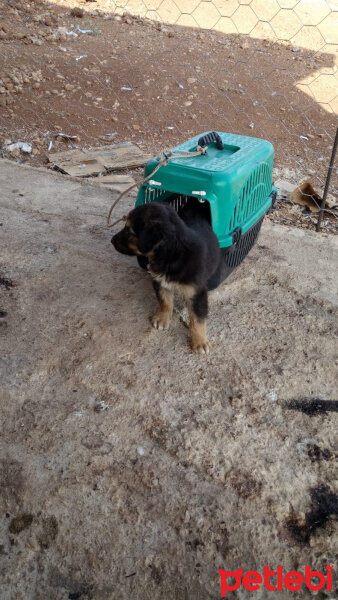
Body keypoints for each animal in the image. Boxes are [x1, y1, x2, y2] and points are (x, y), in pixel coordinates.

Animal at [112, 200, 220, 352]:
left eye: (129, 230)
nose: (111, 240)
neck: (171, 256)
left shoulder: (196, 292)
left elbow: (197, 318)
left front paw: (200, 341)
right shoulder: (160, 281)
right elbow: (165, 301)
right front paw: (162, 319)